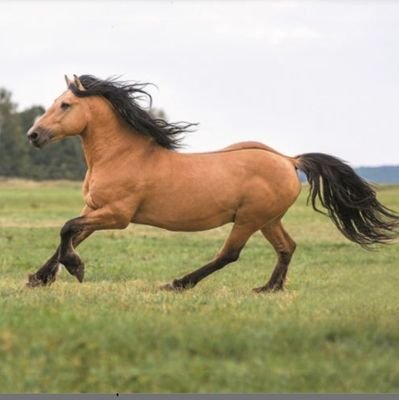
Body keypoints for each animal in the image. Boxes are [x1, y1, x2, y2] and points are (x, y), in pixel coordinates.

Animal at [25, 75, 399, 292]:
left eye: (65, 104)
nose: (33, 135)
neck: (122, 154)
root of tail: (289, 160)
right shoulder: (94, 209)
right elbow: (70, 235)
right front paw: (38, 278)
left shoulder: (117, 215)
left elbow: (66, 229)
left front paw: (75, 269)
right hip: (269, 220)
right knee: (287, 247)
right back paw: (269, 288)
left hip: (249, 219)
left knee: (229, 254)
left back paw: (178, 283)